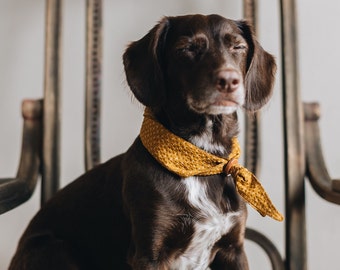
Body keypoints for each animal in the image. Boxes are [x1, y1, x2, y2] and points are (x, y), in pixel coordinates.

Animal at [9, 14, 274, 270]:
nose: (229, 80)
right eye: (187, 49)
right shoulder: (149, 254)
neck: (200, 162)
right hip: (54, 249)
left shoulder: (233, 249)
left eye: (238, 47)